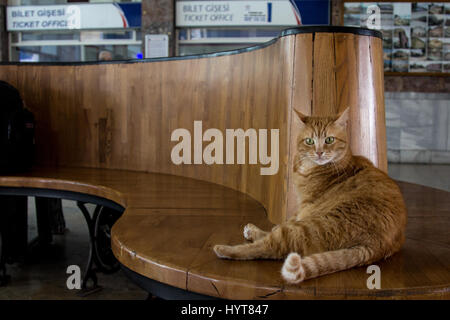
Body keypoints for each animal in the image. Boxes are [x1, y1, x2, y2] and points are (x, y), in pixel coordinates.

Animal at [213, 109, 406, 284]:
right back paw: (251, 231)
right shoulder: (302, 209)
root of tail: (377, 245)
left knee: (272, 245)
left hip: (316, 225)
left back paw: (224, 249)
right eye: (309, 141)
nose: (319, 152)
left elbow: (282, 228)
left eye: (329, 140)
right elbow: (283, 223)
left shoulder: (306, 206)